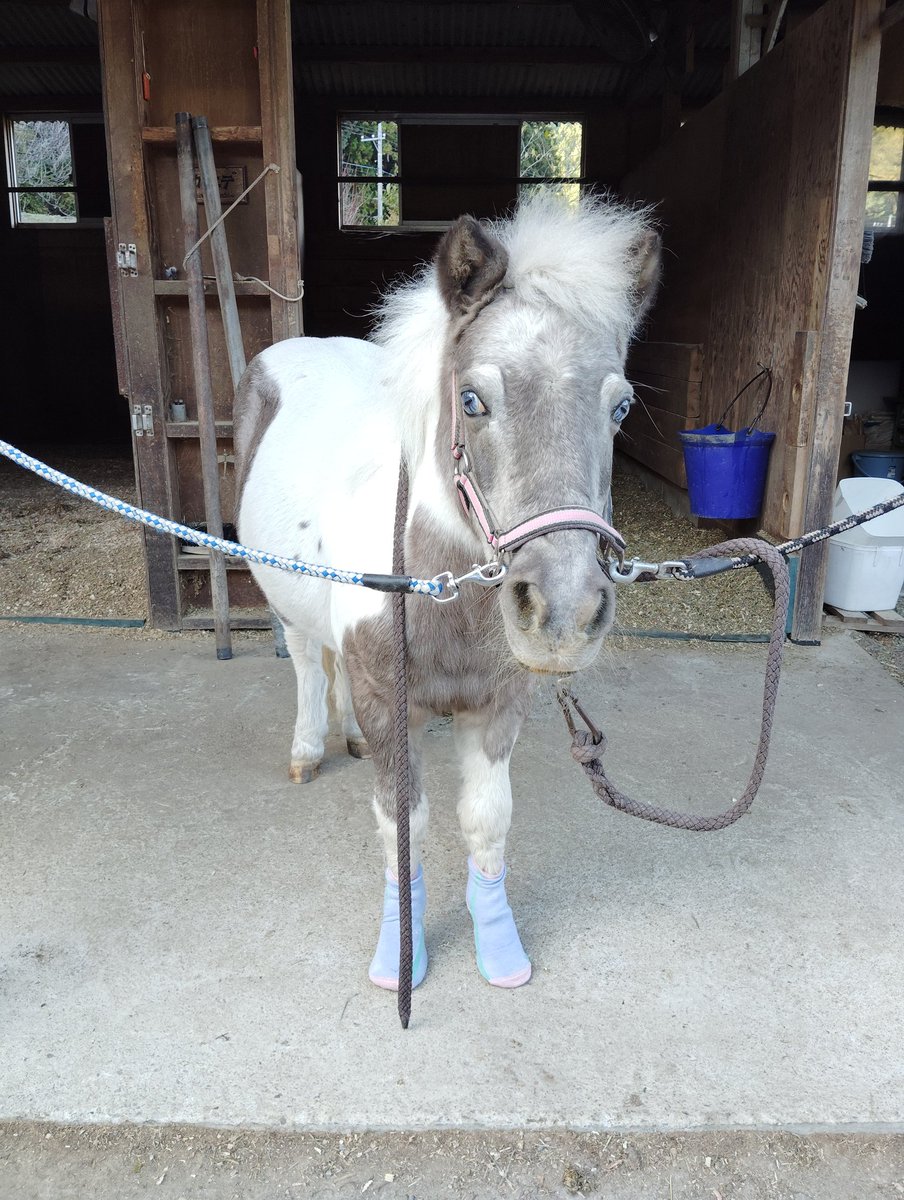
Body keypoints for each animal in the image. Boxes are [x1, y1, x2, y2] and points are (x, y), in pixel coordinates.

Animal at [233, 193, 660, 992]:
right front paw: (399, 955)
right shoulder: (390, 704)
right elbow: (403, 826)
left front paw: (500, 949)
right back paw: (309, 746)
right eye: (471, 400)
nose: (562, 614)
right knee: (308, 663)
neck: (443, 590)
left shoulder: (498, 705)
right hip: (287, 600)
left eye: (620, 409)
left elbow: (485, 821)